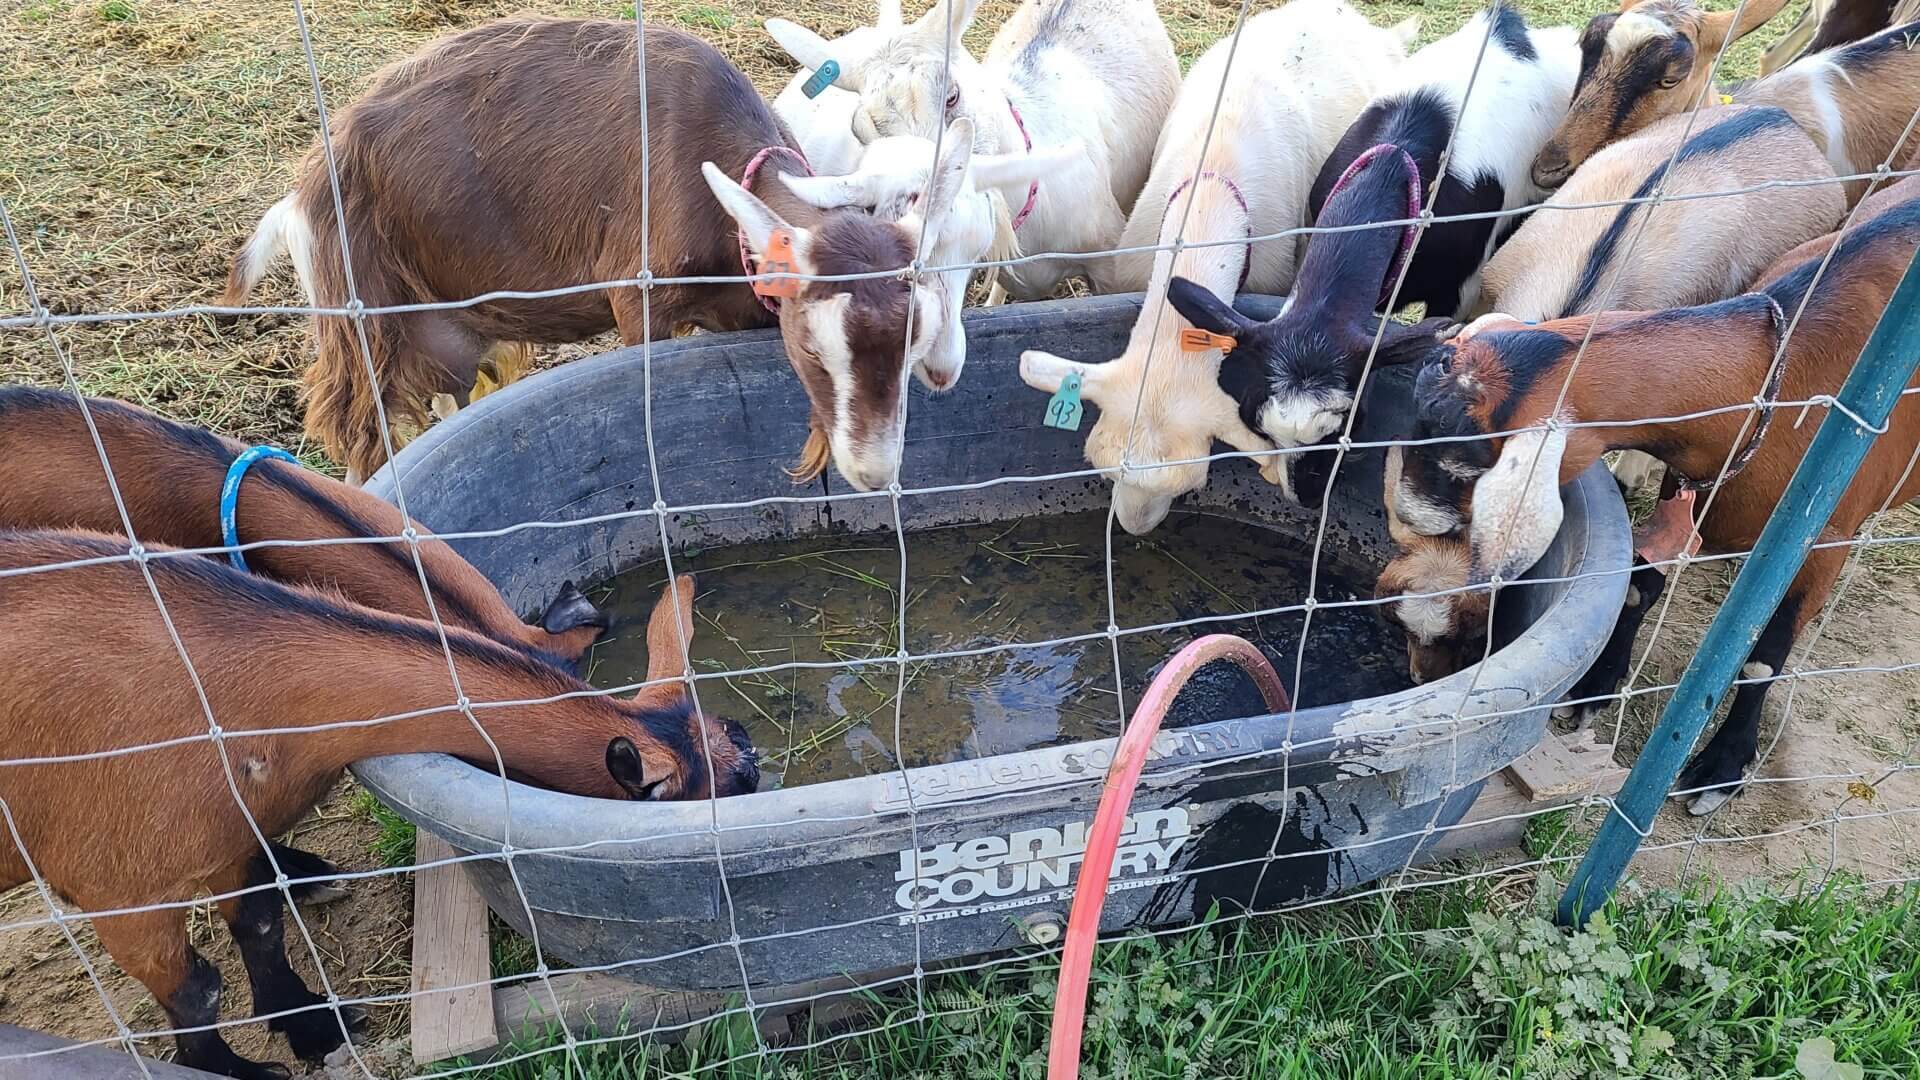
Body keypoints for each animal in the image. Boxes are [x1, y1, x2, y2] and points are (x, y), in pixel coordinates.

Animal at [0, 535, 757, 1078]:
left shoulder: (231, 835)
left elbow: (261, 922)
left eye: (742, 742)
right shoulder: (116, 885)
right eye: (739, 785)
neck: (222, 685)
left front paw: (310, 1026)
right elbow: (196, 988)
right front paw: (241, 1068)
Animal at [224, 20, 964, 494]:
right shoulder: (642, 297)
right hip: (361, 314)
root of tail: (308, 181)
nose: (873, 472)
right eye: (814, 349)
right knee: (360, 435)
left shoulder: (749, 301)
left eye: (914, 342)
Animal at [1378, 178, 1920, 814]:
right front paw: (1594, 689)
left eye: (1464, 467)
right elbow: (1640, 585)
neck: (1781, 380)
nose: (1406, 518)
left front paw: (1722, 766)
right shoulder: (1687, 492)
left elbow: (1763, 657)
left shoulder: (1825, 538)